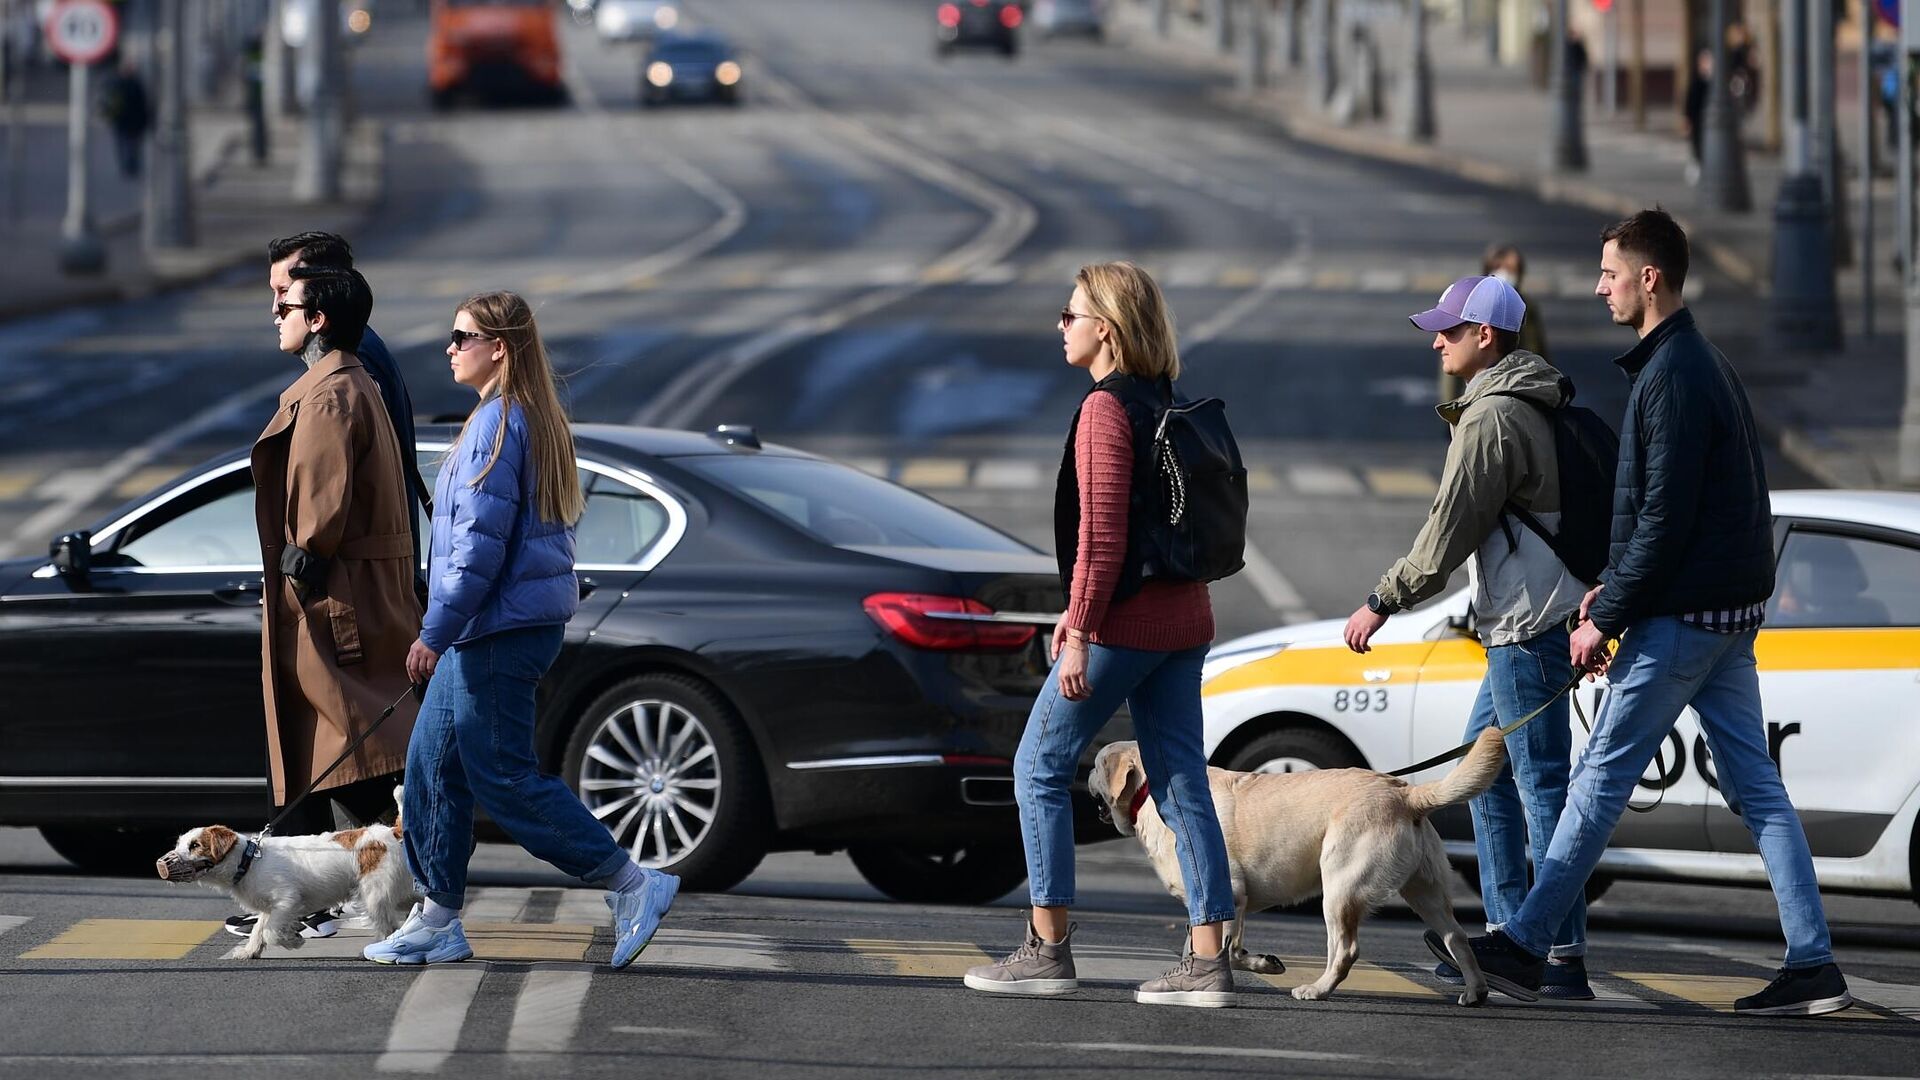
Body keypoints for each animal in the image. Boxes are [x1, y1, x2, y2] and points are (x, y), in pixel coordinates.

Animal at [1090, 726, 1505, 1006]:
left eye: (1095, 765)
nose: (1084, 775)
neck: (1150, 793)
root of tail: (1405, 792)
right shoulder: (1228, 901)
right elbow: (1211, 946)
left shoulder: (1227, 892)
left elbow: (1221, 949)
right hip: (1424, 891)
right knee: (1456, 937)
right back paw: (1476, 990)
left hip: (1339, 888)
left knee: (1346, 950)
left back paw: (1317, 989)